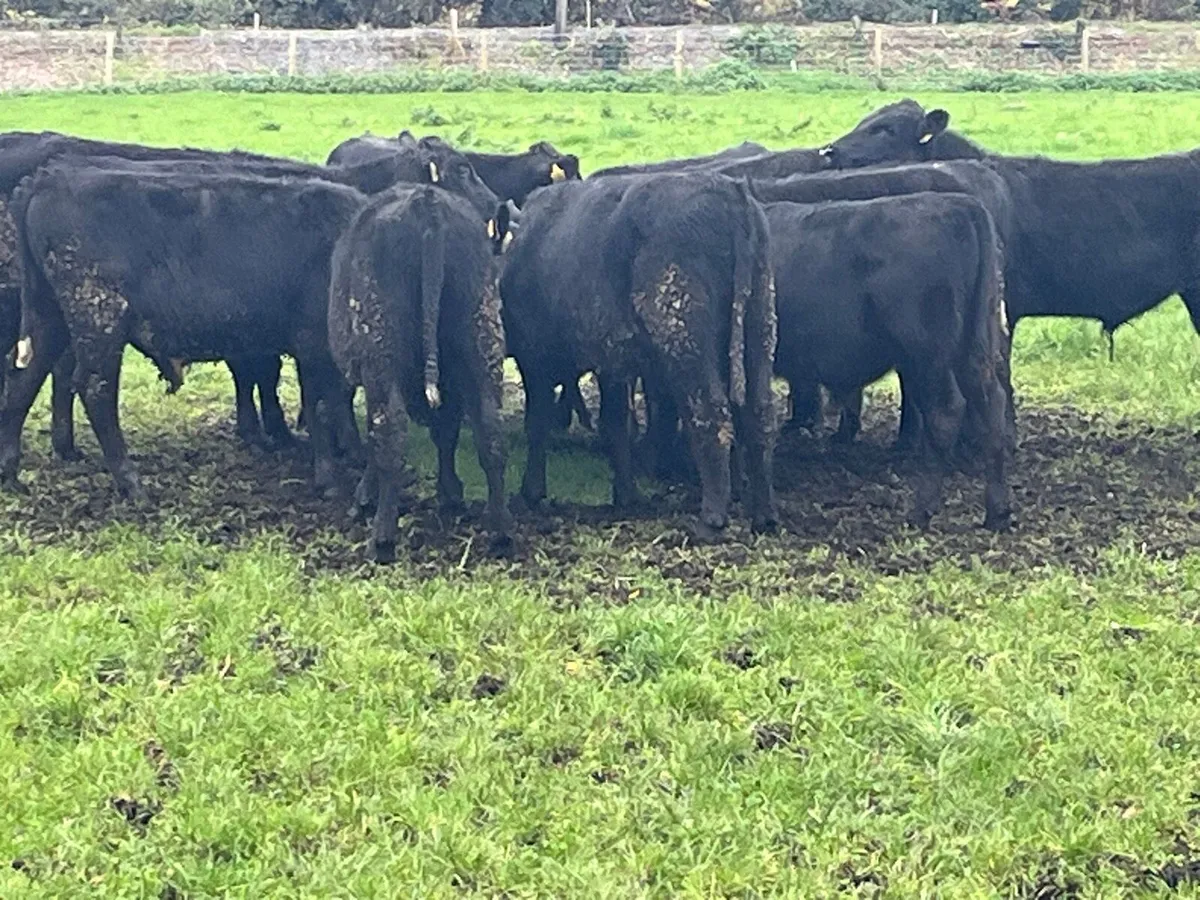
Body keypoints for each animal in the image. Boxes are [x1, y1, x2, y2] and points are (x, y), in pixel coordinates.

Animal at [0, 163, 369, 502]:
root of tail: (52, 178)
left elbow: (334, 401)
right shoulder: (313, 345)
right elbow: (323, 405)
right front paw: (332, 478)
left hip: (50, 316)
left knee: (24, 379)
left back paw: (9, 473)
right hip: (100, 317)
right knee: (95, 389)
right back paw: (132, 484)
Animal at [328, 185, 513, 563]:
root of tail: (428, 202)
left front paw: (364, 496)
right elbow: (446, 432)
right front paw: (451, 493)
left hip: (381, 353)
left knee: (390, 431)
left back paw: (382, 539)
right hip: (481, 340)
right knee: (491, 431)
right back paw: (501, 532)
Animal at [499, 173, 778, 537]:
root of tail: (731, 191)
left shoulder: (535, 358)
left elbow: (538, 422)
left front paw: (531, 491)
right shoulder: (613, 364)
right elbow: (616, 424)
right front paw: (625, 495)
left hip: (687, 343)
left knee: (711, 414)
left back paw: (711, 519)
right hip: (759, 330)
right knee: (759, 415)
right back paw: (765, 514)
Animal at [767, 193, 1014, 531]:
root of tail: (957, 203)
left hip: (928, 357)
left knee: (945, 412)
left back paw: (922, 510)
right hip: (970, 351)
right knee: (992, 408)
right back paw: (996, 511)